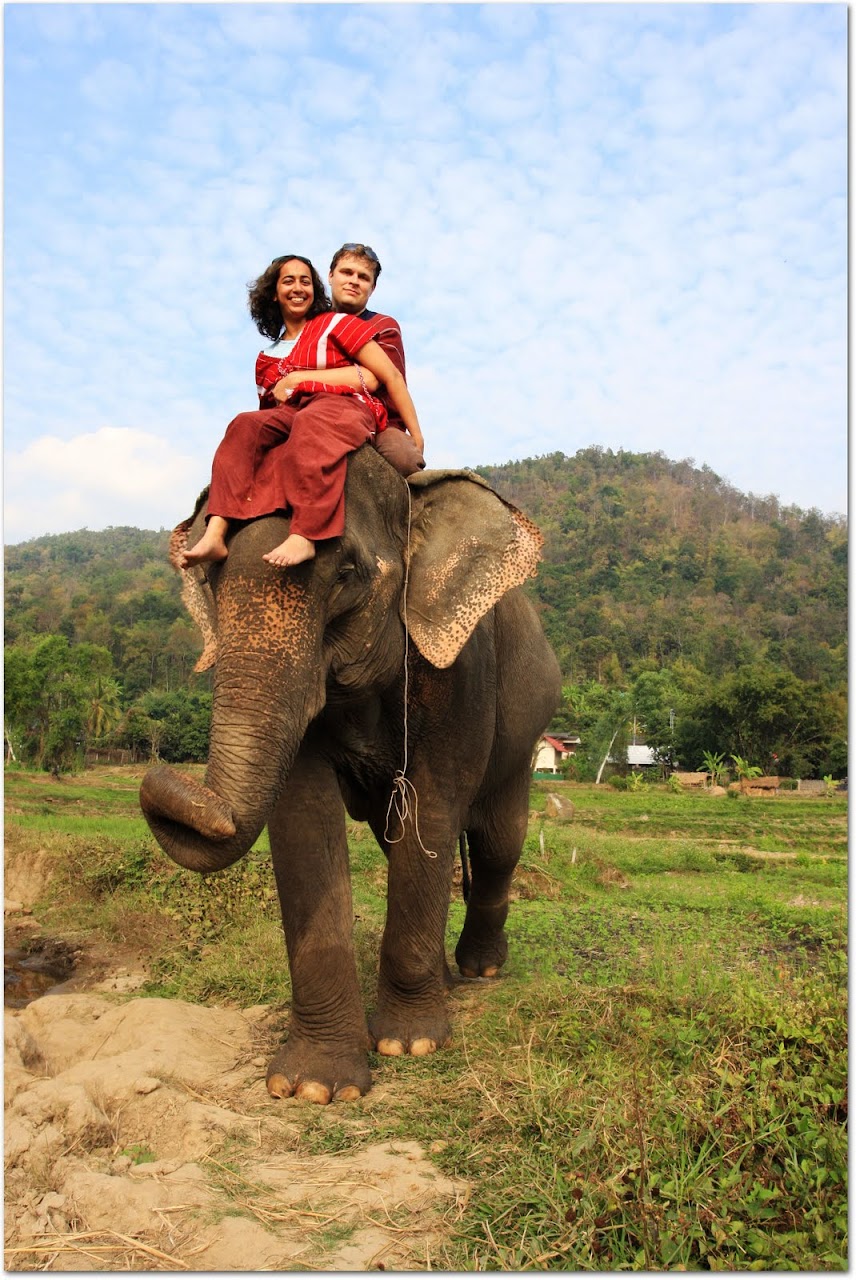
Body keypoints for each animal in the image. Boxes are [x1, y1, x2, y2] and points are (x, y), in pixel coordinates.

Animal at [140, 444, 562, 1104]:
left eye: (345, 575)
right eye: (209, 580)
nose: (160, 777)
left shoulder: (458, 667)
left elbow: (433, 805)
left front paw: (409, 1045)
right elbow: (304, 818)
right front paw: (312, 1087)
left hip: (526, 724)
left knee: (496, 840)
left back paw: (479, 969)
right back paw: (445, 977)